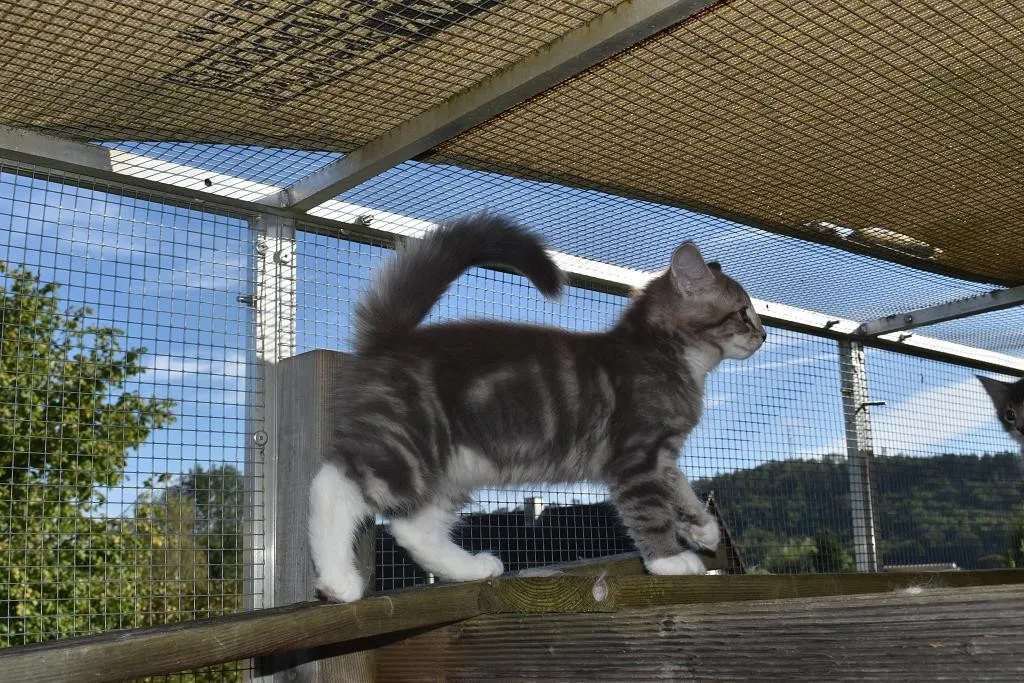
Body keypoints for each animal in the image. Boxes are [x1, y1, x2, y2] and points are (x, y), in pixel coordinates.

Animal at [309, 213, 766, 602]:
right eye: (743, 313)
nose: (763, 335)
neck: (670, 357)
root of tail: (390, 342)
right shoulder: (637, 455)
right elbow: (650, 510)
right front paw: (668, 560)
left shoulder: (663, 456)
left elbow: (680, 486)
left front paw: (703, 528)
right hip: (408, 444)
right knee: (334, 485)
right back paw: (339, 580)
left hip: (458, 463)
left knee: (411, 526)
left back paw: (468, 568)